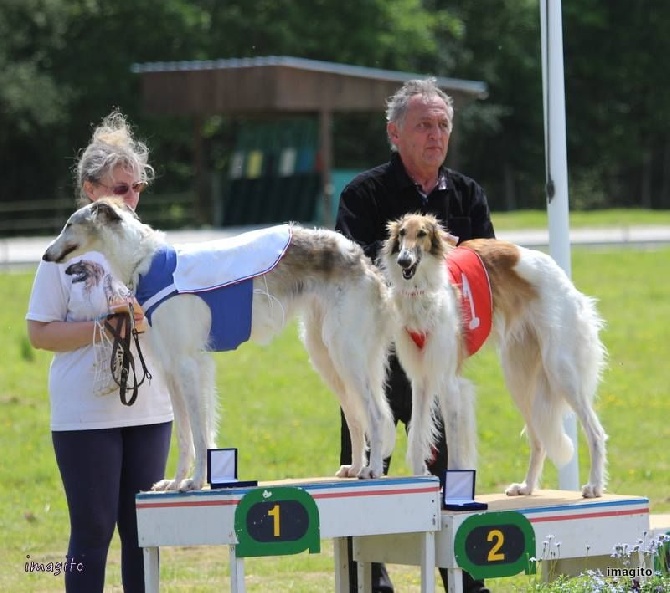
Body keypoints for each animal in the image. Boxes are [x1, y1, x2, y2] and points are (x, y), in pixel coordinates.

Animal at [43, 199, 400, 490]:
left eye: (69, 224)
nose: (46, 255)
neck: (145, 262)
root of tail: (363, 260)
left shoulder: (188, 363)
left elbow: (200, 433)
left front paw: (195, 481)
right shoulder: (172, 368)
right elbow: (185, 434)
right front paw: (176, 481)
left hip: (346, 351)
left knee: (375, 412)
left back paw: (372, 471)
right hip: (324, 353)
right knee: (355, 414)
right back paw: (355, 467)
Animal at [384, 210, 608, 498]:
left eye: (422, 233)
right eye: (401, 234)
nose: (404, 260)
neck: (425, 290)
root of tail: (560, 276)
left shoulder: (448, 381)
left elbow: (454, 446)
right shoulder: (421, 378)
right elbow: (417, 436)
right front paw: (420, 477)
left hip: (562, 371)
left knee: (595, 432)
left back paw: (594, 486)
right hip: (519, 380)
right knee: (538, 440)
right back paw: (527, 486)